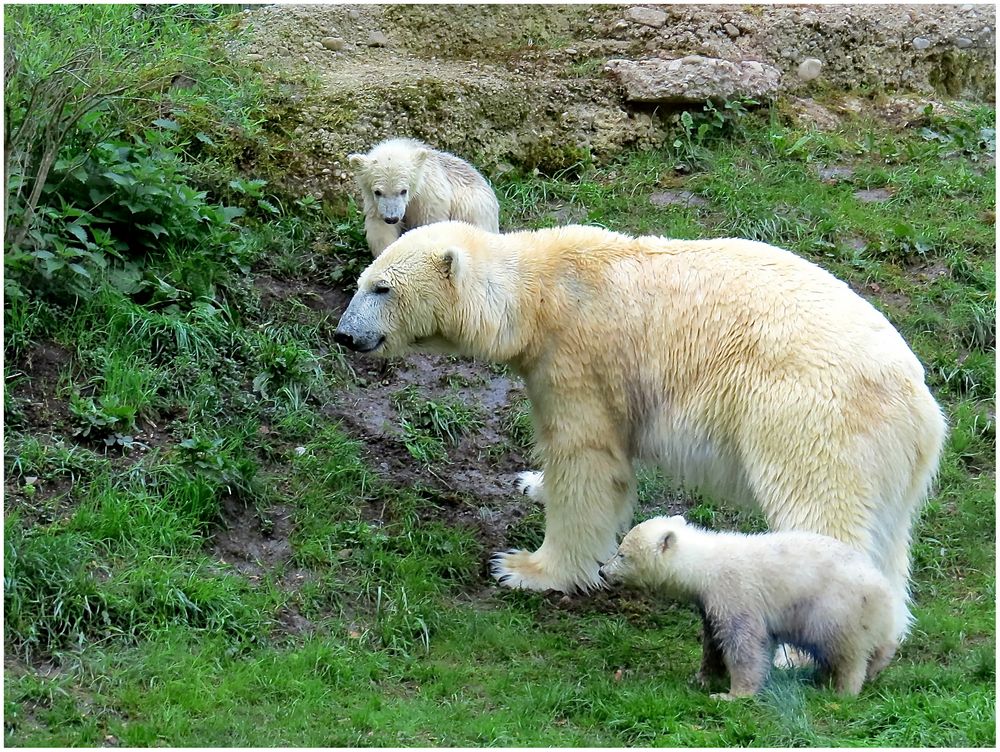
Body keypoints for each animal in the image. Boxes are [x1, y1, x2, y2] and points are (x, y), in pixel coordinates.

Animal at [334, 220, 944, 636]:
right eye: (362, 281)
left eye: (382, 289)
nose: (343, 334)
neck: (540, 290)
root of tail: (923, 407)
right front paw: (532, 484)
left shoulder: (580, 355)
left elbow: (587, 459)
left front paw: (524, 568)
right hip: (887, 460)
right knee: (886, 538)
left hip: (811, 418)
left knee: (822, 510)